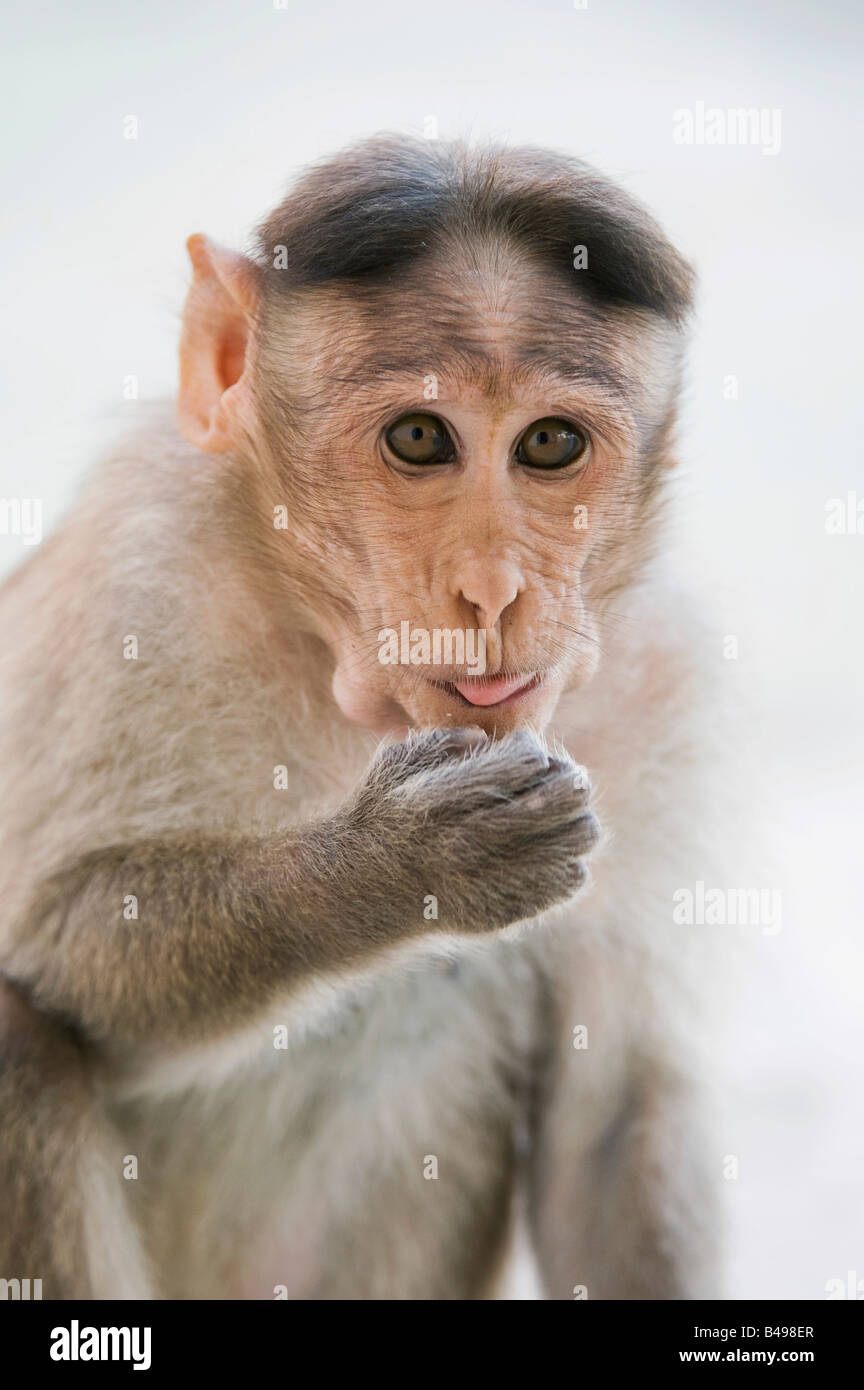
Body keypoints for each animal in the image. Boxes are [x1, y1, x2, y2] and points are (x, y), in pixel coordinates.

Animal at [0, 135, 723, 1300]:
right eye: (421, 437)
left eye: (550, 445)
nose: (492, 589)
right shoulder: (134, 568)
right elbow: (60, 946)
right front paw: (394, 867)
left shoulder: (665, 679)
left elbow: (612, 1114)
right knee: (17, 1038)